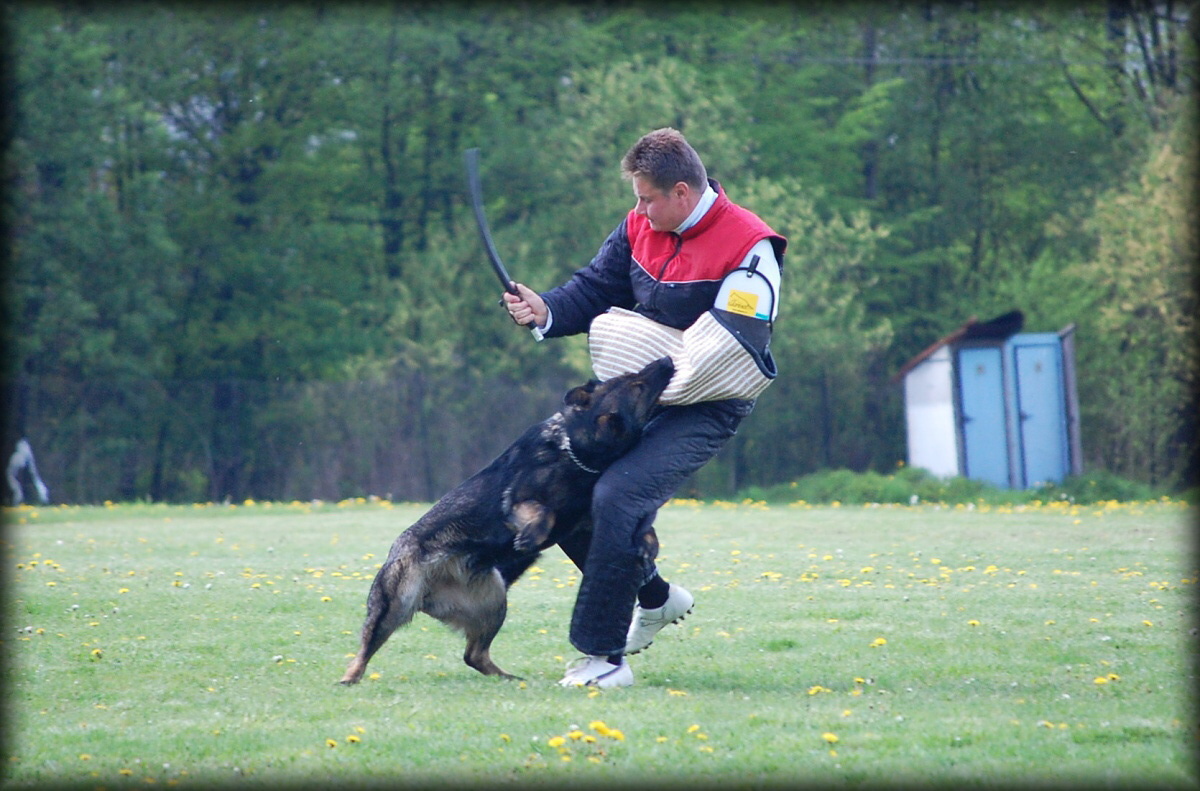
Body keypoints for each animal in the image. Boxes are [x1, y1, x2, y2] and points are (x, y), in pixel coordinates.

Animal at [340, 355, 676, 681]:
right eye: (635, 383)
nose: (667, 361)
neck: (578, 453)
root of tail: (429, 593)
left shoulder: (584, 523)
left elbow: (639, 527)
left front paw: (649, 543)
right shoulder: (516, 500)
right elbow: (542, 511)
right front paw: (530, 535)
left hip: (494, 603)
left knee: (474, 655)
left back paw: (507, 677)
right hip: (393, 604)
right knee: (365, 648)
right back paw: (350, 678)